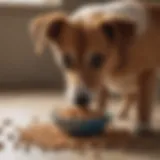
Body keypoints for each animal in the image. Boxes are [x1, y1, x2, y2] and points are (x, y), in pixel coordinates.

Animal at [29, 0, 160, 134]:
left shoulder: (147, 73)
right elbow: (102, 99)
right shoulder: (101, 83)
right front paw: (96, 113)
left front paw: (143, 126)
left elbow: (143, 103)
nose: (80, 101)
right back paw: (123, 112)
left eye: (97, 59)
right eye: (66, 60)